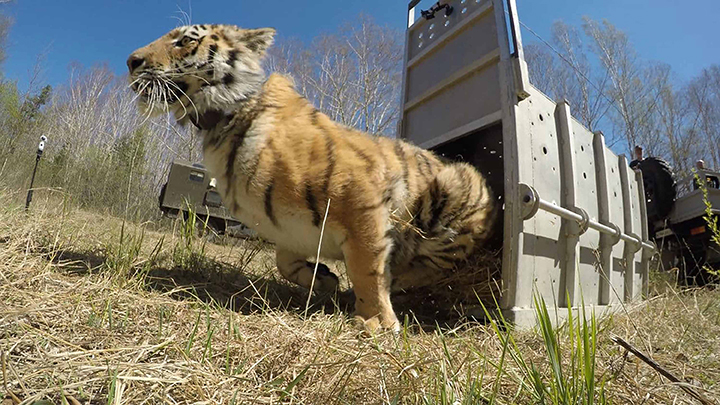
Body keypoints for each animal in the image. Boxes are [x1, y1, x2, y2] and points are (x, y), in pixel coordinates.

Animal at [128, 22, 496, 332]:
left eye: (185, 40)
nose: (131, 61)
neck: (225, 118)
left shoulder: (361, 197)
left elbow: (367, 265)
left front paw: (377, 322)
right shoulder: (287, 227)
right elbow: (283, 261)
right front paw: (323, 279)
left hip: (453, 190)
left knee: (436, 262)